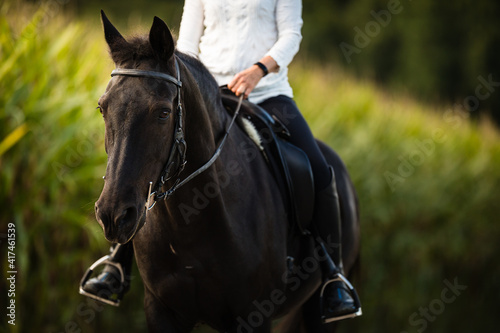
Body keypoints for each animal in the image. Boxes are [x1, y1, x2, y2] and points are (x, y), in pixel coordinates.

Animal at [93, 12, 360, 332]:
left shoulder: (254, 316)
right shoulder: (161, 311)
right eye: (102, 108)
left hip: (316, 312)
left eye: (163, 113)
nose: (114, 216)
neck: (190, 221)